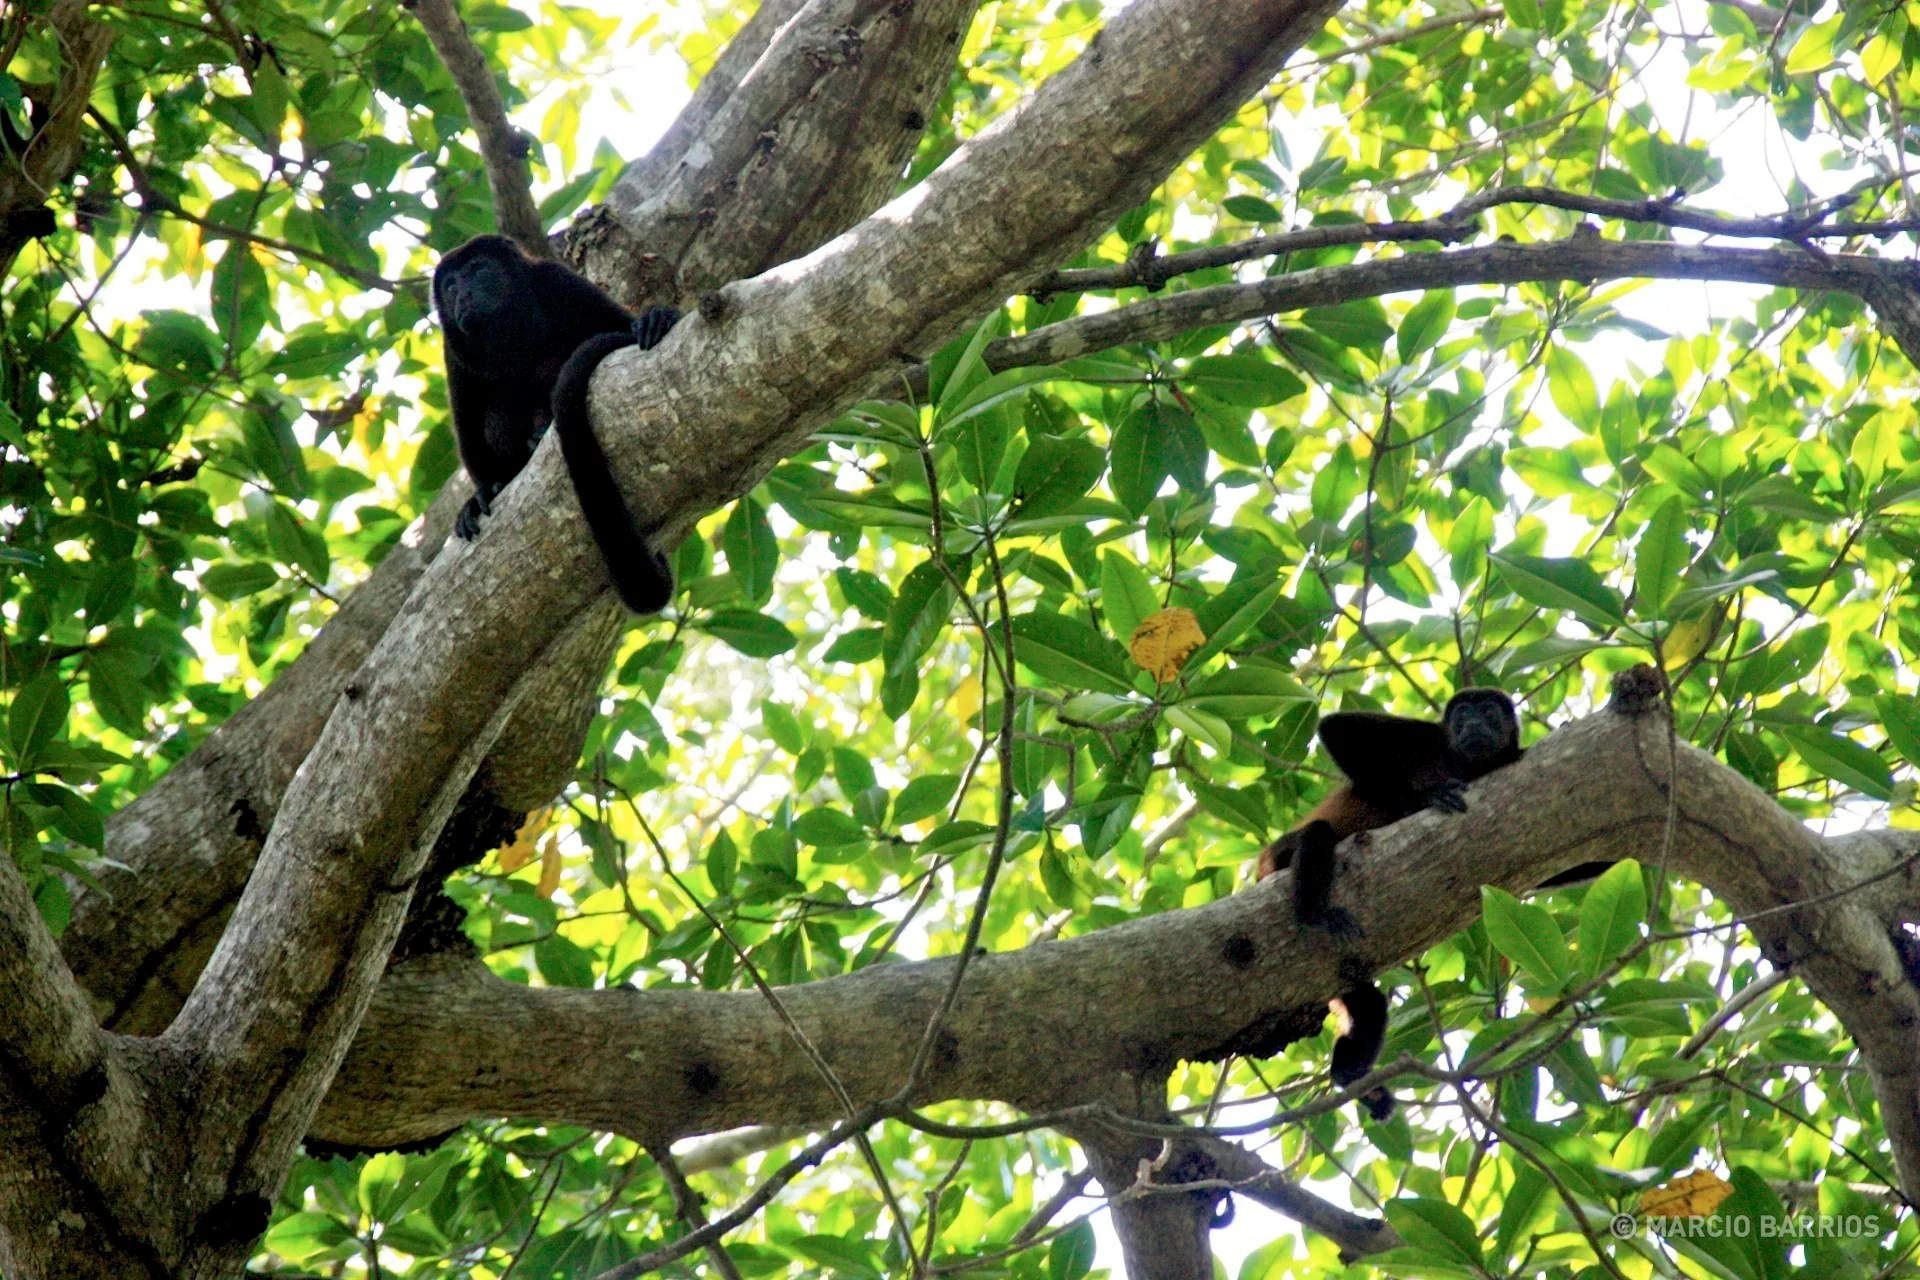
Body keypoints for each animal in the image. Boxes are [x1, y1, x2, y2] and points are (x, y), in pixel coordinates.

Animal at [431, 234, 681, 614]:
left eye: (477, 270)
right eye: (449, 286)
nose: (462, 294)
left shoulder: (558, 282)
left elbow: (619, 323)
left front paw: (657, 317)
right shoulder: (453, 349)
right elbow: (468, 430)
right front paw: (484, 493)